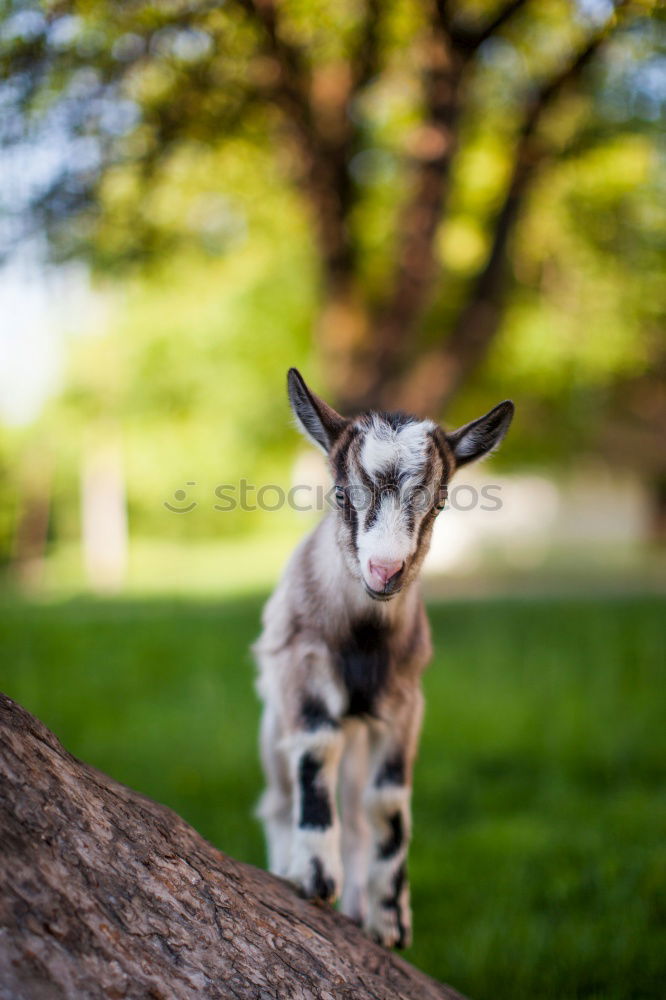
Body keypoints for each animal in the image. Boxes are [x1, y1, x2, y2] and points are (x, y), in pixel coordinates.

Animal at [254, 372, 512, 948]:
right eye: (341, 492)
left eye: (439, 502)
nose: (384, 571)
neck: (363, 639)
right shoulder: (300, 669)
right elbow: (314, 752)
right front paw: (314, 874)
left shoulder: (405, 701)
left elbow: (388, 800)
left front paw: (391, 918)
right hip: (273, 720)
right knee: (279, 796)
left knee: (356, 811)